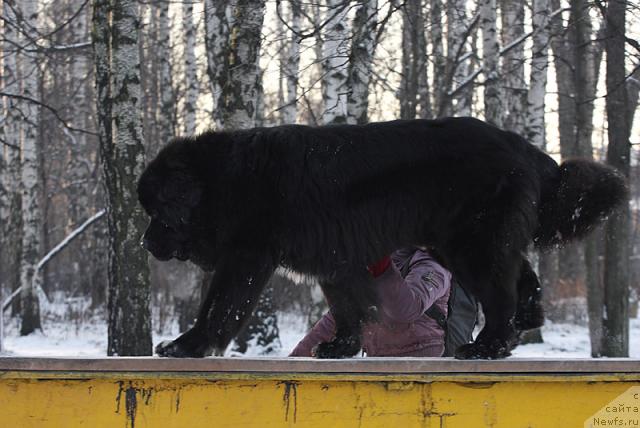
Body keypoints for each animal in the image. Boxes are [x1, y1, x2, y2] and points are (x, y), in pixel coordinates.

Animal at [136, 116, 624, 358]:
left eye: (158, 212)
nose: (144, 243)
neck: (223, 182)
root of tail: (520, 144)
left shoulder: (246, 256)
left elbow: (220, 306)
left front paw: (188, 345)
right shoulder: (335, 260)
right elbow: (348, 307)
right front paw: (341, 347)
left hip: (470, 244)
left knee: (500, 294)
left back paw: (488, 347)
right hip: (470, 241)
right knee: (523, 278)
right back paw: (525, 321)